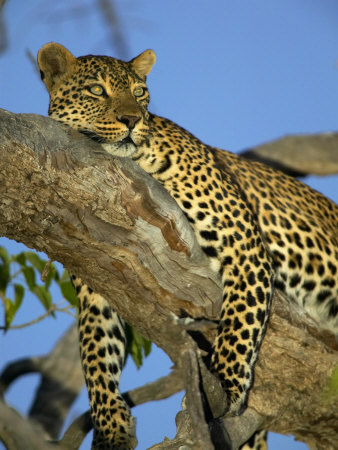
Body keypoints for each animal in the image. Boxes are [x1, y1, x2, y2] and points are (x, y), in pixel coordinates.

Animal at [37, 43, 338, 450]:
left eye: (139, 93)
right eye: (96, 91)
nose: (132, 120)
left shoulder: (245, 245)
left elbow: (239, 326)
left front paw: (224, 385)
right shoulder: (94, 278)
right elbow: (96, 354)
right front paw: (111, 427)